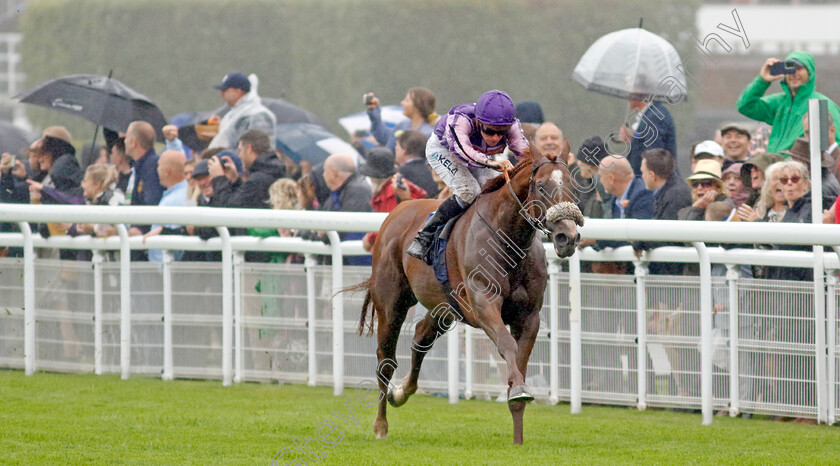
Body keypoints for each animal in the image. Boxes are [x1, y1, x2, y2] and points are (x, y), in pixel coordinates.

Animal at [352, 142, 580, 444]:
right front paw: (520, 393)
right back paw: (380, 425)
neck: (508, 239)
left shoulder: (530, 316)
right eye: (541, 187)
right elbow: (507, 344)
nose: (568, 237)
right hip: (391, 303)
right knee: (385, 361)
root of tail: (399, 209)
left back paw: (400, 392)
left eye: (572, 185)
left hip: (444, 307)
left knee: (421, 337)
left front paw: (518, 434)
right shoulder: (483, 304)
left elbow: (519, 362)